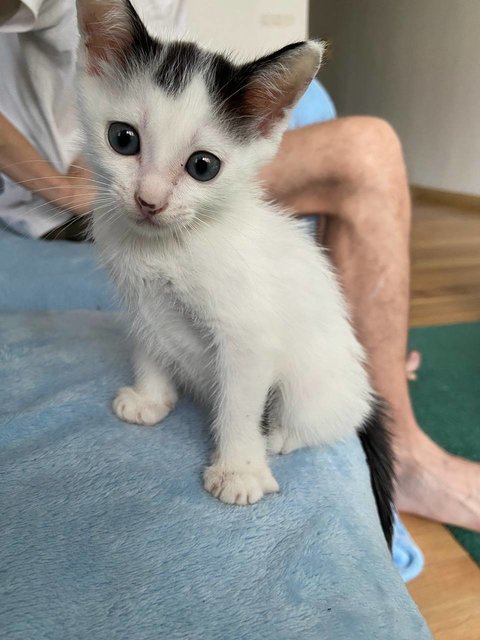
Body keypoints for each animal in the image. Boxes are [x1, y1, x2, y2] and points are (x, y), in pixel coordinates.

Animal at [77, 0, 396, 544]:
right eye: (123, 139)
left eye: (203, 166)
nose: (148, 201)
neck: (166, 247)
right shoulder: (140, 301)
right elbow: (149, 344)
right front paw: (150, 398)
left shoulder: (248, 336)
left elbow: (240, 403)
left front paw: (239, 470)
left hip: (314, 382)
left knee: (330, 418)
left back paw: (281, 435)